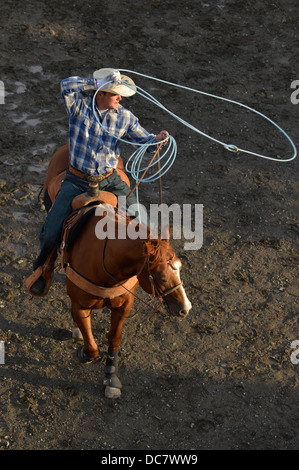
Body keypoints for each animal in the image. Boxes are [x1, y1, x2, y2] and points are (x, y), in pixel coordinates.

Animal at [37, 143, 193, 396]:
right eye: (160, 276)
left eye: (178, 267)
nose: (185, 309)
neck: (105, 260)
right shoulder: (81, 304)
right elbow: (92, 346)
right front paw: (84, 351)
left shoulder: (123, 306)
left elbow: (114, 338)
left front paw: (111, 378)